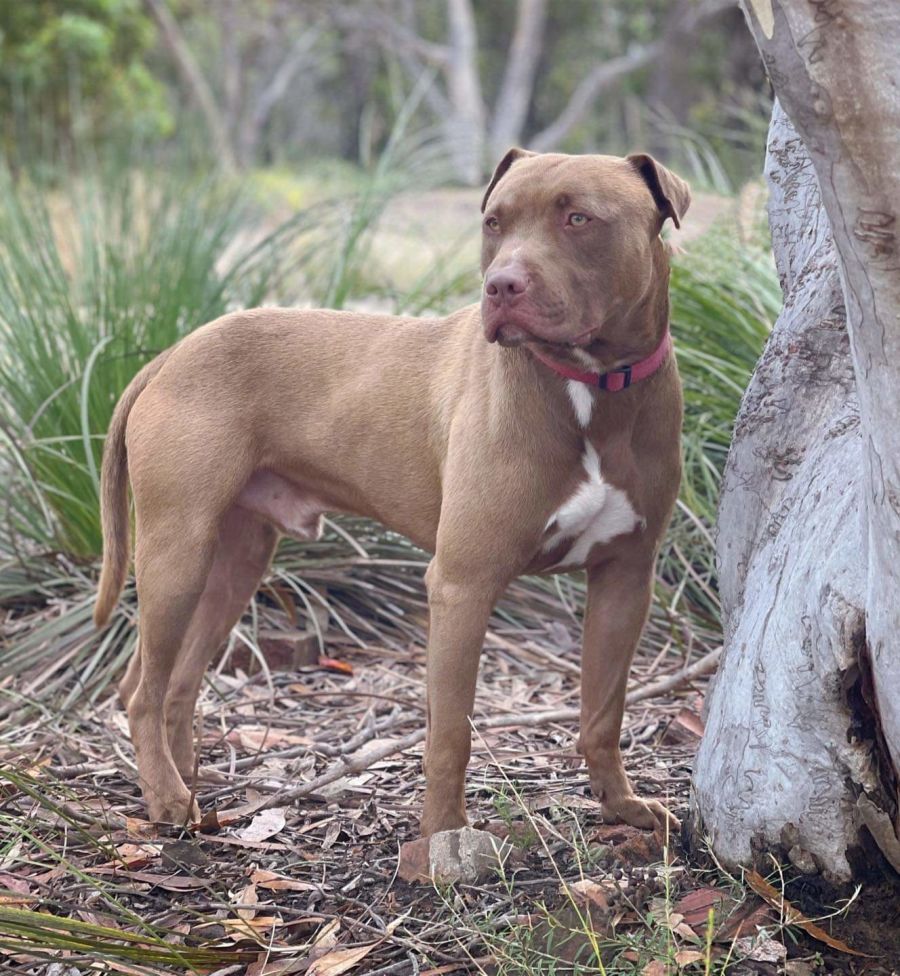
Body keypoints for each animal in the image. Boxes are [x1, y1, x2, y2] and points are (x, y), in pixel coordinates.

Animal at [94, 149, 689, 835]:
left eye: (578, 218)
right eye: (493, 221)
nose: (501, 287)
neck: (592, 387)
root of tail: (168, 355)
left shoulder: (626, 578)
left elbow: (602, 711)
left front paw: (620, 805)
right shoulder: (462, 584)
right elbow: (451, 733)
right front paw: (443, 840)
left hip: (233, 563)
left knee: (174, 680)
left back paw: (184, 778)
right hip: (178, 552)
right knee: (142, 689)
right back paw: (167, 798)